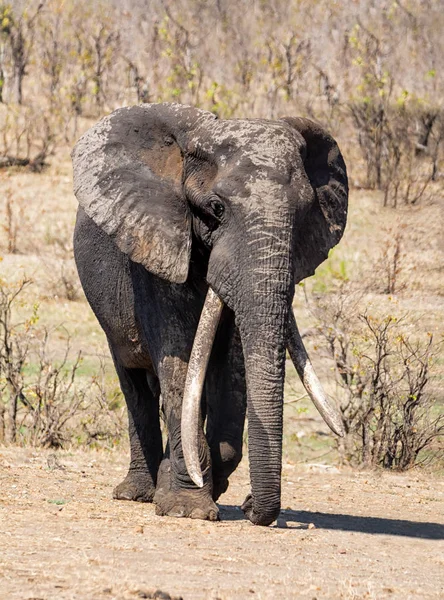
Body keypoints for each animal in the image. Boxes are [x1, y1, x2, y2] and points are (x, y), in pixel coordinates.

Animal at [72, 103, 346, 524]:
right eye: (216, 208)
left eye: (303, 213)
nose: (251, 507)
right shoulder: (157, 244)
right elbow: (180, 362)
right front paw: (187, 508)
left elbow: (230, 372)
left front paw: (202, 487)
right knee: (134, 384)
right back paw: (136, 493)